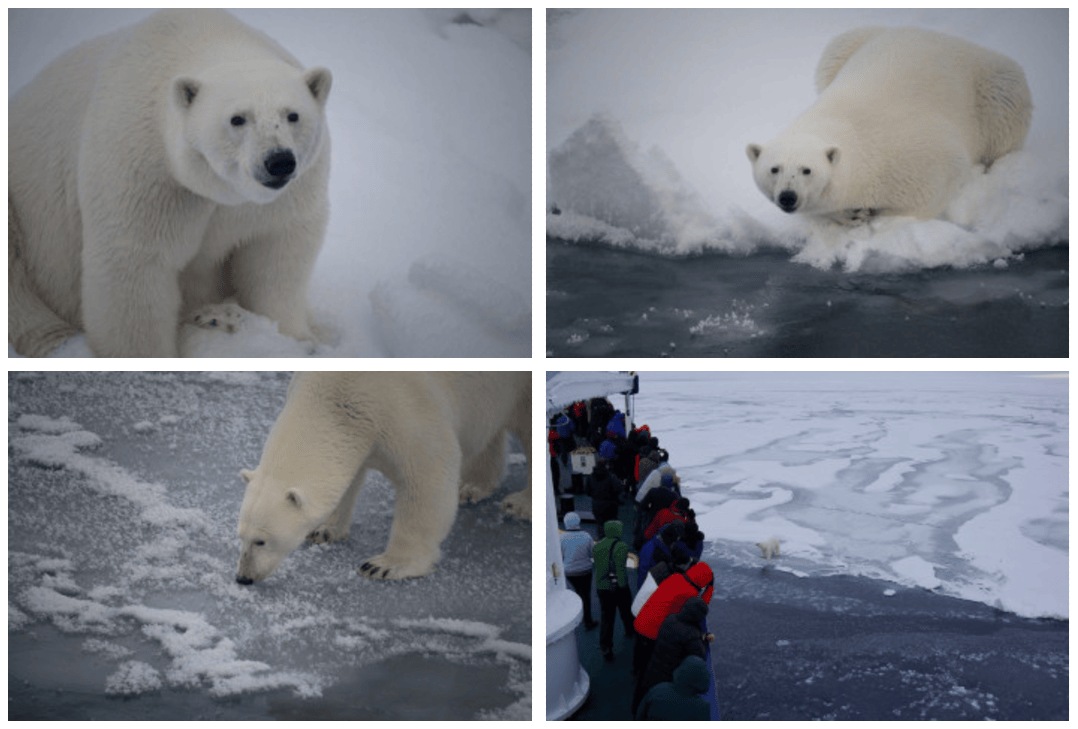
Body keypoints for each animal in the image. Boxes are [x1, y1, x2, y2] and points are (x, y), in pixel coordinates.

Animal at [8, 10, 332, 357]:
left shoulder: (289, 193)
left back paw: (218, 317)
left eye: (293, 115)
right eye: (237, 119)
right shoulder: (148, 172)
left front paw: (295, 339)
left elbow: (277, 254)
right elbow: (134, 265)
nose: (279, 161)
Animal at [235, 371, 532, 584]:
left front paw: (383, 565)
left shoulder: (406, 409)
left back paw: (520, 504)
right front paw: (323, 530)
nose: (243, 578)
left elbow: (426, 479)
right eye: (241, 536)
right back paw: (471, 485)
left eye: (261, 541)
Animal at [746, 27, 1031, 224]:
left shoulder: (917, 155)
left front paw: (876, 214)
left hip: (992, 85)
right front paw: (852, 213)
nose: (788, 196)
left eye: (806, 170)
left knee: (1004, 112)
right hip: (854, 42)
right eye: (774, 169)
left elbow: (936, 186)